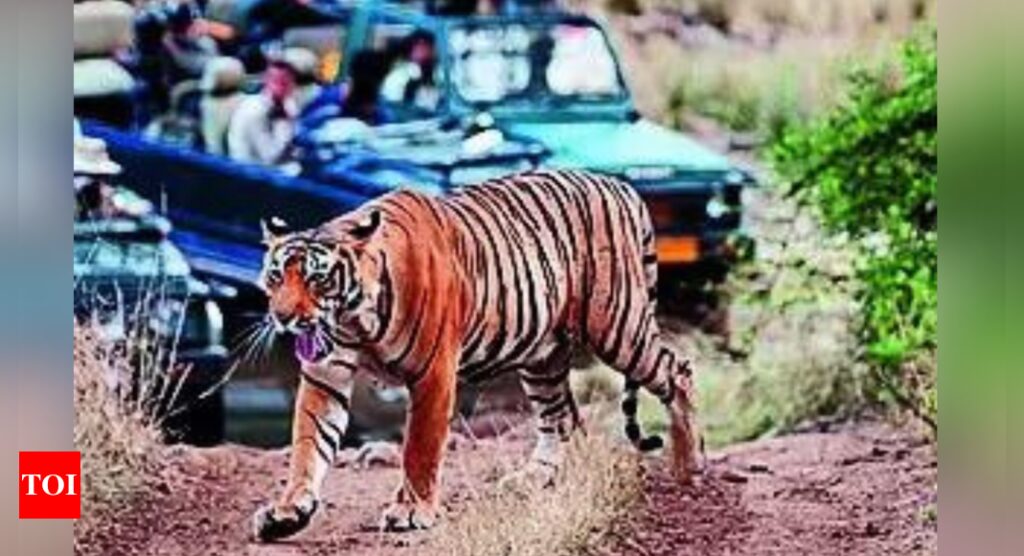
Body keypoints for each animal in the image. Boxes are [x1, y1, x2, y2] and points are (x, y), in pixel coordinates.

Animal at [251, 167, 700, 540]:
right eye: (276, 277)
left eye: (317, 279)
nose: (283, 317)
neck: (354, 319)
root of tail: (620, 185)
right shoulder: (325, 374)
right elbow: (308, 442)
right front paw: (288, 510)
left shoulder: (433, 373)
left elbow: (419, 448)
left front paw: (411, 511)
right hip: (543, 355)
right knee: (560, 416)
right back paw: (535, 479)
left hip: (619, 328)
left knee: (678, 373)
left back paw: (689, 466)